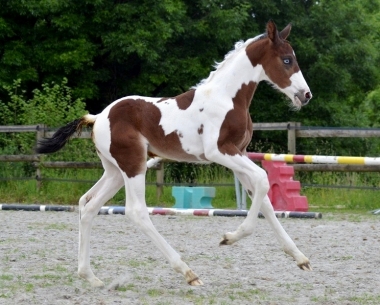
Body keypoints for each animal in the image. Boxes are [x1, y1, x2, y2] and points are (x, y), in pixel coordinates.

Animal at [37, 20, 314, 284]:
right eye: (287, 60)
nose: (306, 95)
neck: (227, 98)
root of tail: (99, 117)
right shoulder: (220, 152)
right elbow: (263, 180)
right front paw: (229, 237)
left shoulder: (241, 153)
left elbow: (264, 198)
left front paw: (300, 257)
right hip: (134, 165)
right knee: (136, 211)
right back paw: (187, 272)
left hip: (115, 171)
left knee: (88, 205)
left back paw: (90, 276)